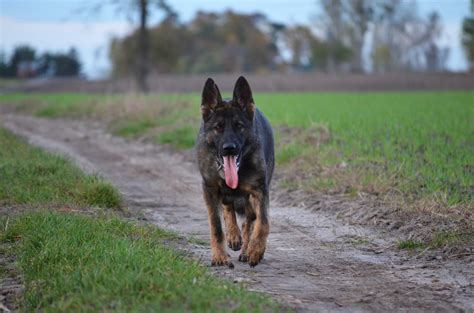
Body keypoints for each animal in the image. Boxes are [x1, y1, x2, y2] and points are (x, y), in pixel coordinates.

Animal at [196, 75, 274, 266]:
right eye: (218, 127)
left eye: (239, 126)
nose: (229, 148)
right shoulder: (210, 189)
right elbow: (216, 225)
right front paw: (219, 256)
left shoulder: (259, 190)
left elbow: (263, 223)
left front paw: (255, 250)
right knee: (228, 208)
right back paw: (233, 235)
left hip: (250, 199)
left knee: (249, 222)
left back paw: (246, 249)